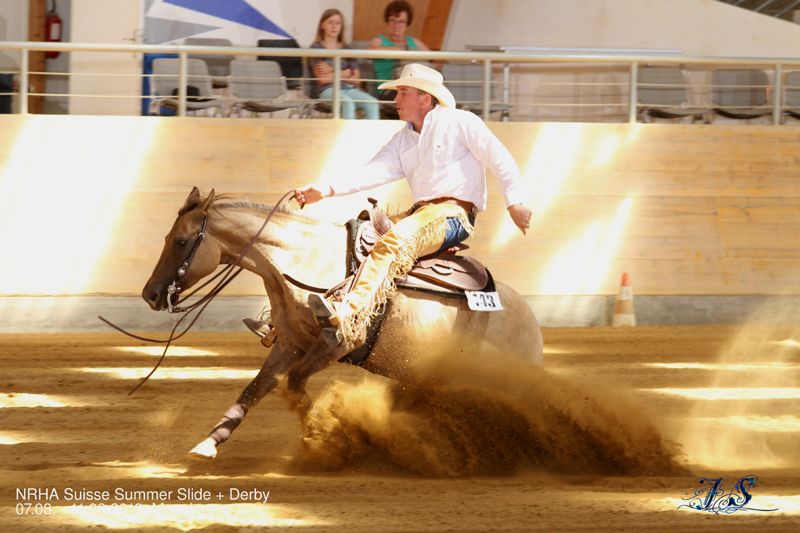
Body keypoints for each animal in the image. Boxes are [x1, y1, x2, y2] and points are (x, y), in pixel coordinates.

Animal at [142, 187, 544, 458]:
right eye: (167, 237)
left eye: (181, 241)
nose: (150, 293)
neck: (306, 261)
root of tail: (531, 328)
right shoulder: (291, 344)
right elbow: (253, 391)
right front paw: (208, 443)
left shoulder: (335, 344)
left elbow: (295, 384)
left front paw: (324, 437)